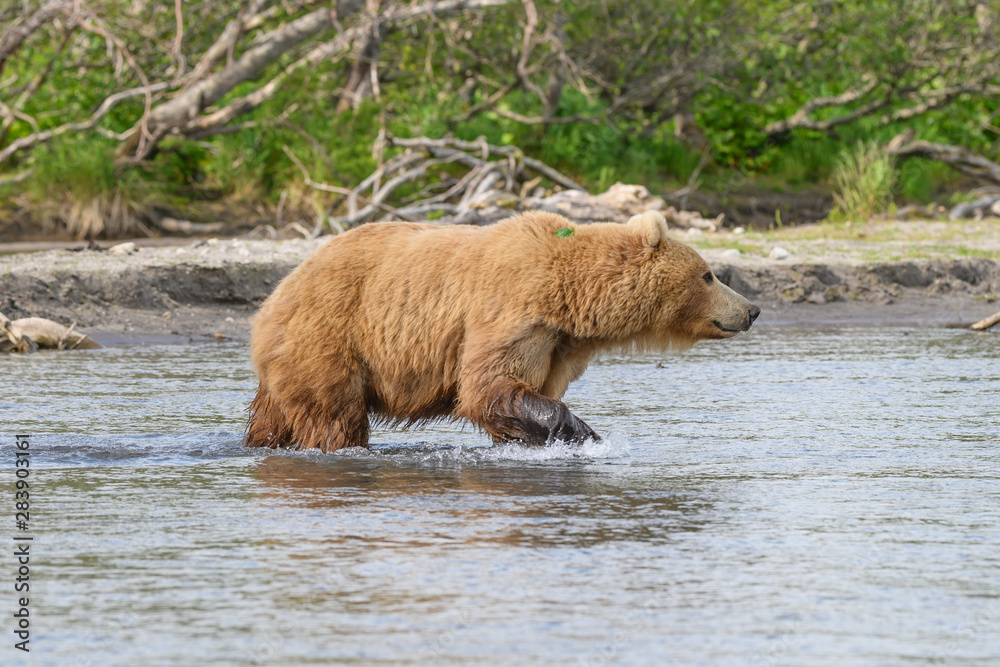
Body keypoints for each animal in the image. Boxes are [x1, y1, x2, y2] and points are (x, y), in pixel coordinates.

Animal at [245, 210, 759, 452]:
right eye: (709, 274)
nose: (751, 309)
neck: (572, 297)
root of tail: (271, 299)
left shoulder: (557, 345)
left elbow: (524, 395)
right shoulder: (514, 311)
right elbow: (488, 386)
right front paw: (585, 435)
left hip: (289, 364)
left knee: (273, 419)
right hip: (330, 339)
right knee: (334, 417)